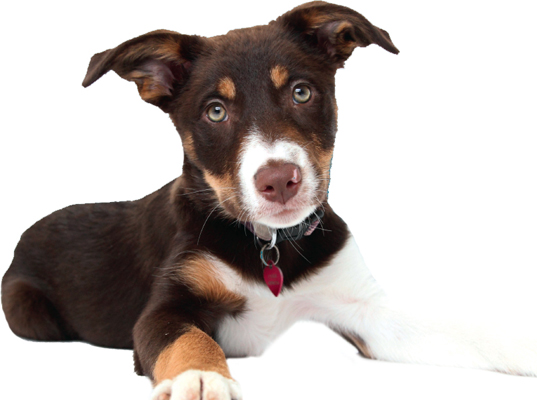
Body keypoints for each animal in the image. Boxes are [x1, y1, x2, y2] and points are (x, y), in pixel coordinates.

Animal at [1, 3, 536, 400]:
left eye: (301, 92)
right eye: (216, 111)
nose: (280, 181)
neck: (270, 244)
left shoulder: (364, 308)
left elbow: (462, 330)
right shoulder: (167, 305)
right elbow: (187, 338)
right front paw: (201, 377)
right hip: (27, 311)